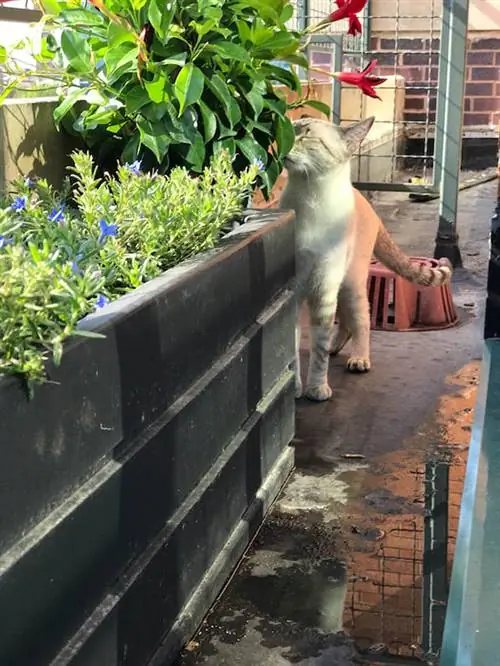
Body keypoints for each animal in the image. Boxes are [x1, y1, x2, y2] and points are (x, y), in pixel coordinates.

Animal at [282, 115, 454, 400]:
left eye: (306, 135)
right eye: (290, 127)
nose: (282, 141)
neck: (311, 198)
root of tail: (367, 203)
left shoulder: (324, 288)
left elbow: (318, 351)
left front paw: (317, 389)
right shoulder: (294, 292)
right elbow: (291, 349)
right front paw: (294, 389)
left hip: (351, 283)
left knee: (361, 319)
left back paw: (359, 359)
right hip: (342, 286)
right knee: (345, 321)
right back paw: (337, 346)